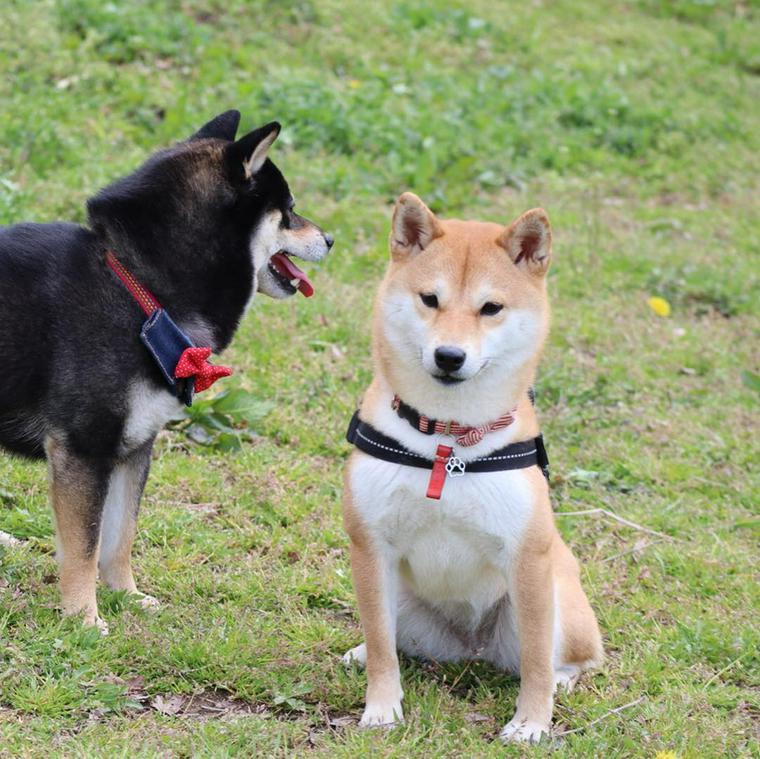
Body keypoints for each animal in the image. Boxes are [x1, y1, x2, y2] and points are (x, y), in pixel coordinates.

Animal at [0, 110, 332, 632]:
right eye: (289, 210)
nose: (331, 238)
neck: (141, 287)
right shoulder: (83, 449)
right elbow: (83, 547)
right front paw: (84, 619)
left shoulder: (134, 447)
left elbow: (120, 537)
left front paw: (127, 596)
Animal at [342, 191, 600, 744]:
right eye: (429, 299)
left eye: (491, 308)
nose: (449, 355)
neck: (446, 440)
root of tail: (471, 648)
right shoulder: (370, 546)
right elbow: (382, 648)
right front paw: (381, 708)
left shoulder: (527, 559)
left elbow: (536, 664)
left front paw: (531, 722)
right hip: (401, 599)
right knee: (388, 638)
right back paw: (360, 652)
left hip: (556, 600)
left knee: (574, 658)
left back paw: (563, 680)